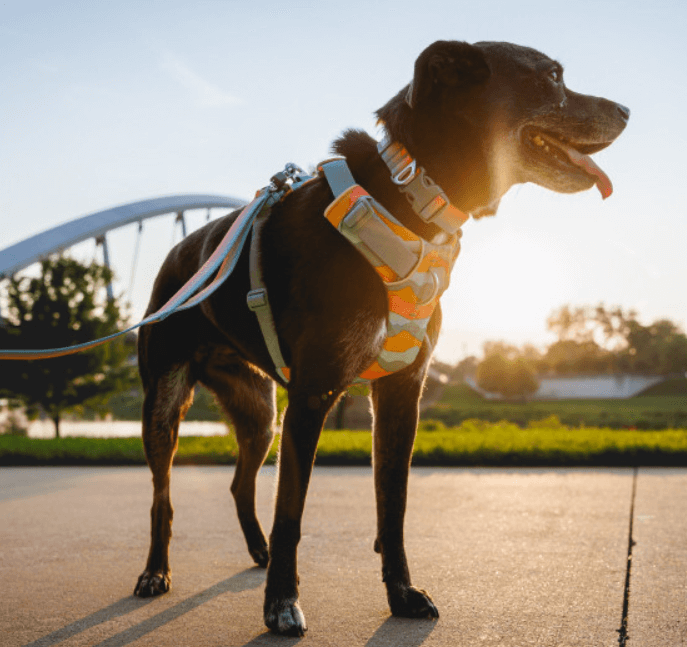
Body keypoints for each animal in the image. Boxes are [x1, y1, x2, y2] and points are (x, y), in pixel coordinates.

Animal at [133, 41, 628, 636]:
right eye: (552, 76)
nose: (627, 111)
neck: (409, 193)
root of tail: (177, 257)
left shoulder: (399, 393)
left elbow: (393, 507)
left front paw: (402, 593)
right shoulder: (313, 395)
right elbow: (291, 511)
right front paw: (282, 603)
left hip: (258, 411)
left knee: (239, 482)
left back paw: (256, 552)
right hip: (167, 402)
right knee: (162, 496)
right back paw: (155, 573)